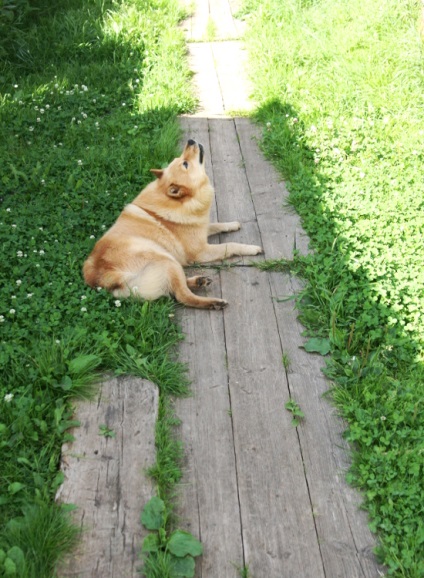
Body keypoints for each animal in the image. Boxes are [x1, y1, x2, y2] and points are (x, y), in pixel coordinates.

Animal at [82, 138, 262, 308]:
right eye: (185, 163)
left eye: (180, 159)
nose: (190, 140)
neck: (181, 201)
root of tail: (105, 279)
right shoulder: (201, 251)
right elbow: (230, 245)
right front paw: (251, 248)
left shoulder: (202, 228)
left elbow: (217, 225)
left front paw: (232, 224)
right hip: (167, 260)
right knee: (182, 295)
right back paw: (214, 302)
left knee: (175, 287)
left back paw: (198, 281)